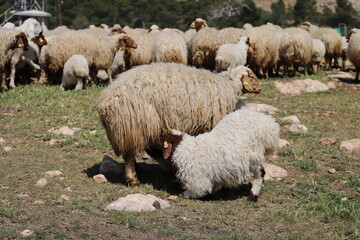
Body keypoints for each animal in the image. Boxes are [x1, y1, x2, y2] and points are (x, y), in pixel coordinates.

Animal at [94, 62, 260, 186]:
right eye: (251, 76)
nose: (260, 88)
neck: (229, 85)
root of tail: (106, 102)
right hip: (133, 125)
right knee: (129, 154)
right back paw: (133, 179)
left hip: (126, 129)